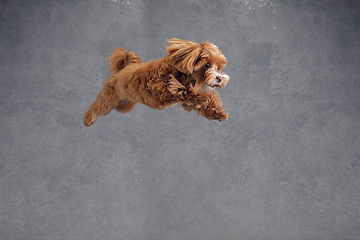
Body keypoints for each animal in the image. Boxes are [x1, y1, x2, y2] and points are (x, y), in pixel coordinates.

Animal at [83, 38, 229, 126]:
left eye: (218, 67)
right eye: (207, 64)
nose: (219, 78)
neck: (185, 77)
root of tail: (122, 68)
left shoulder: (186, 103)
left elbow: (200, 103)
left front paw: (217, 112)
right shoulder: (161, 91)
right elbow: (183, 91)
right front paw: (201, 96)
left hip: (127, 101)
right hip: (109, 96)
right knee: (98, 106)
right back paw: (88, 119)